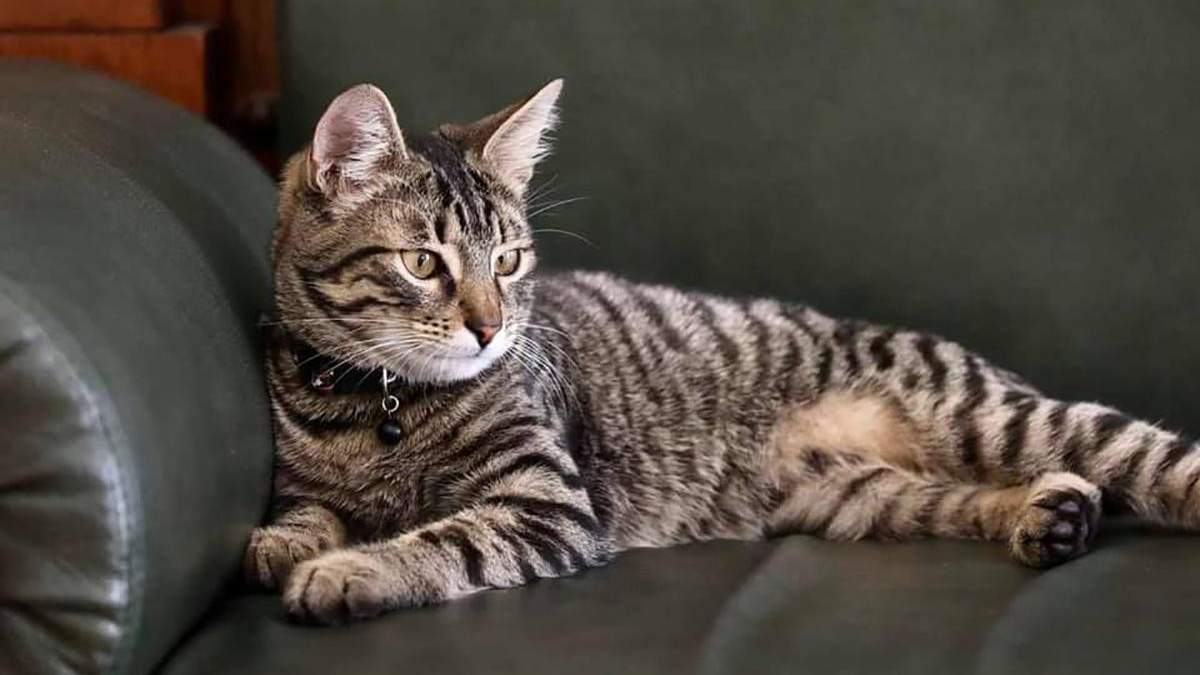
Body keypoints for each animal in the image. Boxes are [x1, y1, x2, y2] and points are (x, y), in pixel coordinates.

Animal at [246, 79, 1198, 625]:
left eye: (508, 262)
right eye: (423, 264)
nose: (491, 327)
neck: (375, 406)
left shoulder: (545, 502)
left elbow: (444, 541)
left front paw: (349, 569)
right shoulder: (311, 478)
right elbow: (307, 511)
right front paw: (288, 543)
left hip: (991, 415)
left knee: (1150, 456)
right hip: (862, 496)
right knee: (970, 494)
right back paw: (1051, 512)